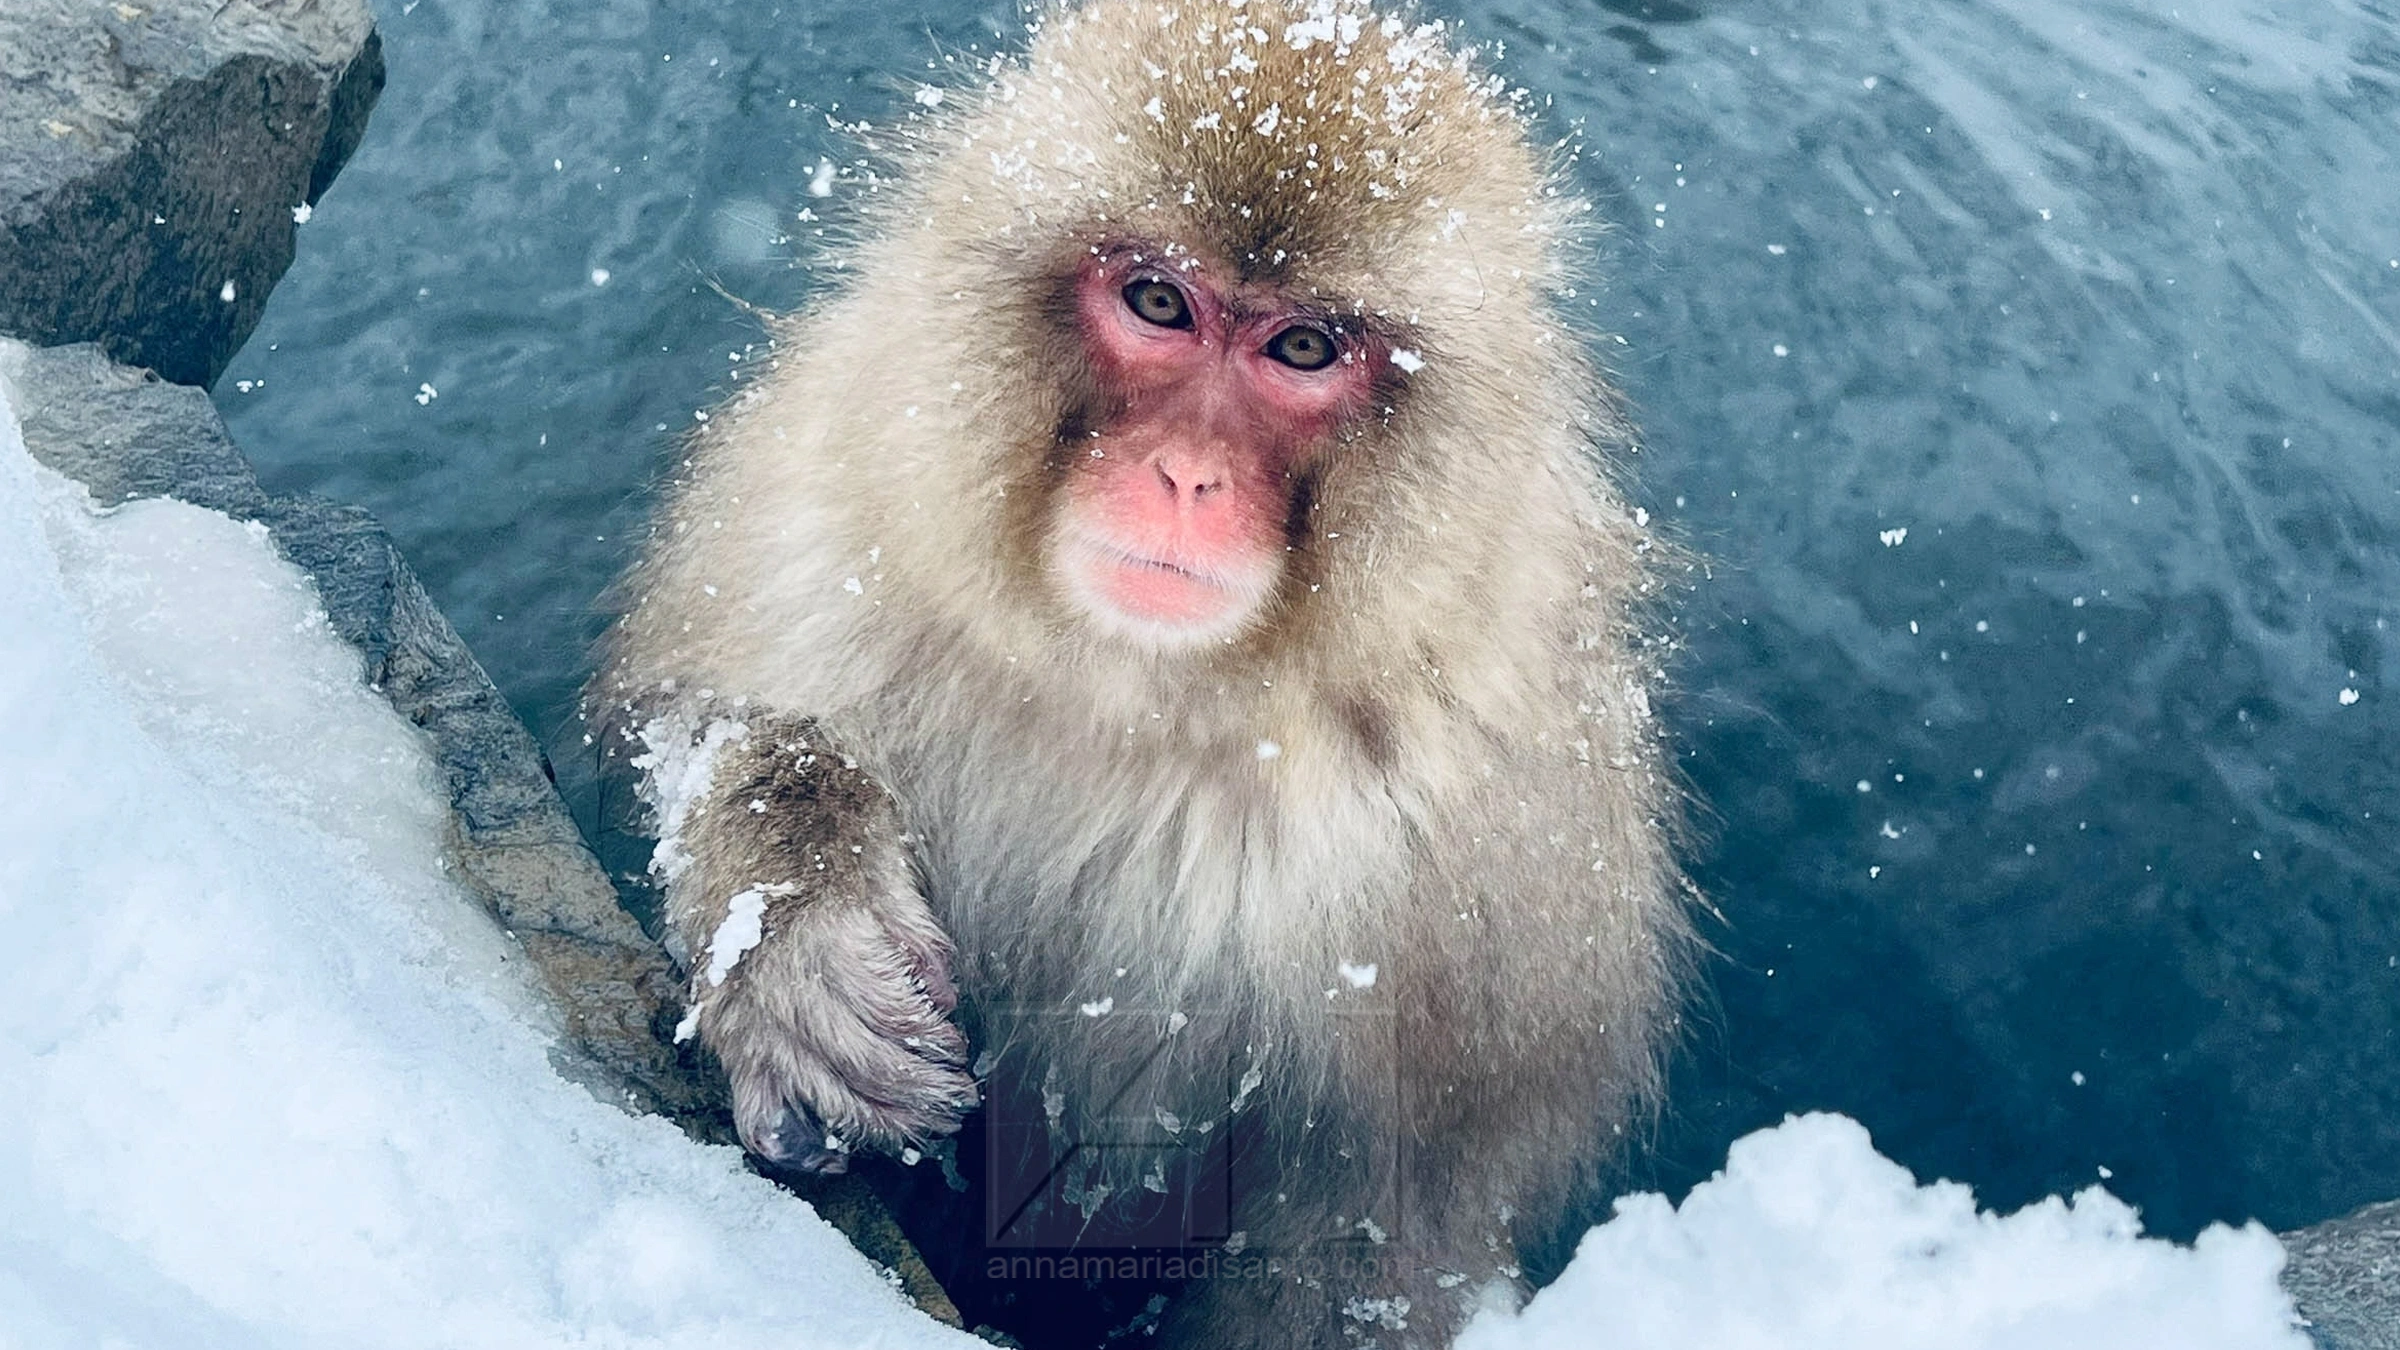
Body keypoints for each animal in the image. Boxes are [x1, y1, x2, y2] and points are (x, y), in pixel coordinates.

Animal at [592, 1, 1694, 1344]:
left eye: (1304, 345)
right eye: (1159, 300)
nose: (1185, 474)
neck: (1132, 691)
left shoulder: (1498, 875)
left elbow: (1370, 1242)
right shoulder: (833, 496)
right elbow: (701, 719)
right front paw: (799, 915)